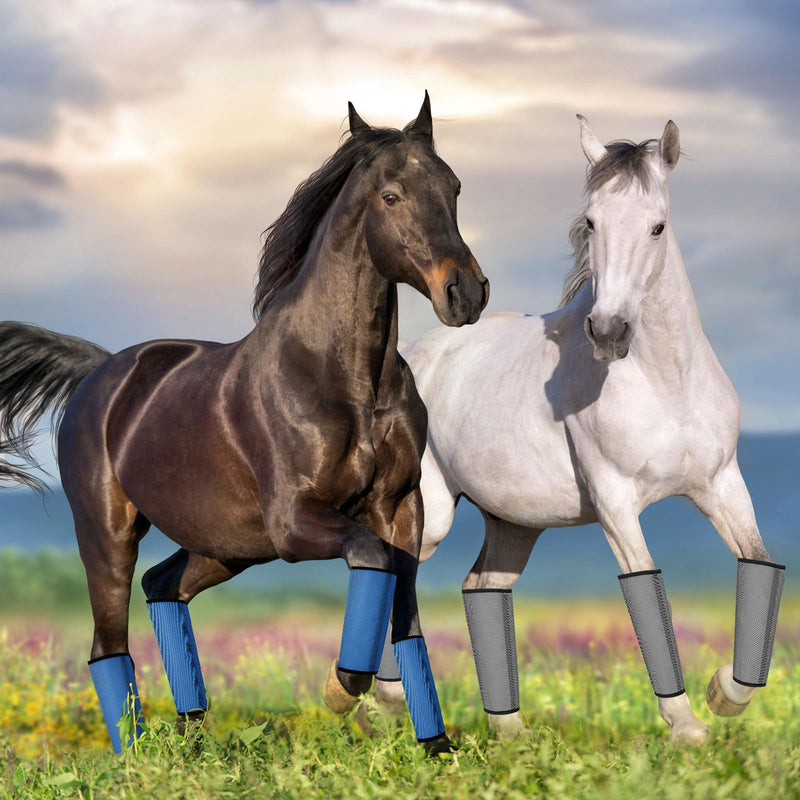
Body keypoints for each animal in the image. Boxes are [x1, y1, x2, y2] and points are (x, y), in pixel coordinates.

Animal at [0, 94, 489, 755]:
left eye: (454, 186)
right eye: (391, 195)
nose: (466, 293)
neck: (344, 379)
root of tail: (100, 372)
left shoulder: (399, 508)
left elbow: (405, 615)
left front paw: (437, 750)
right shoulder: (295, 521)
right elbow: (371, 559)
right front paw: (342, 687)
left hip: (227, 546)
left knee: (163, 586)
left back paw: (192, 739)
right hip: (109, 535)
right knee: (107, 645)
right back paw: (139, 759)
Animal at [371, 116, 784, 742]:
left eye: (658, 226)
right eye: (591, 222)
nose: (609, 331)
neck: (666, 384)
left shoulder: (721, 485)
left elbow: (758, 564)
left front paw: (724, 693)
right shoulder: (615, 501)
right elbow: (644, 584)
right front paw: (686, 725)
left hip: (514, 524)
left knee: (482, 589)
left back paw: (510, 731)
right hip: (433, 513)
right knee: (397, 573)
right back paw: (378, 698)